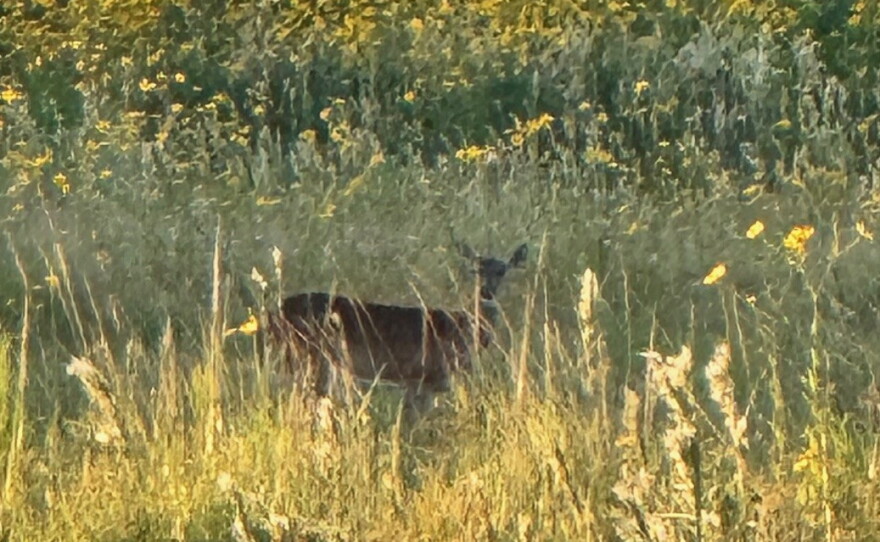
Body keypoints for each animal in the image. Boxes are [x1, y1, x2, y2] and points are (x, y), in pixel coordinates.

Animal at [266, 243, 528, 414]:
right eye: (475, 270)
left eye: (502, 270)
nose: (486, 291)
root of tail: (277, 310)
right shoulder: (427, 375)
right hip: (312, 354)